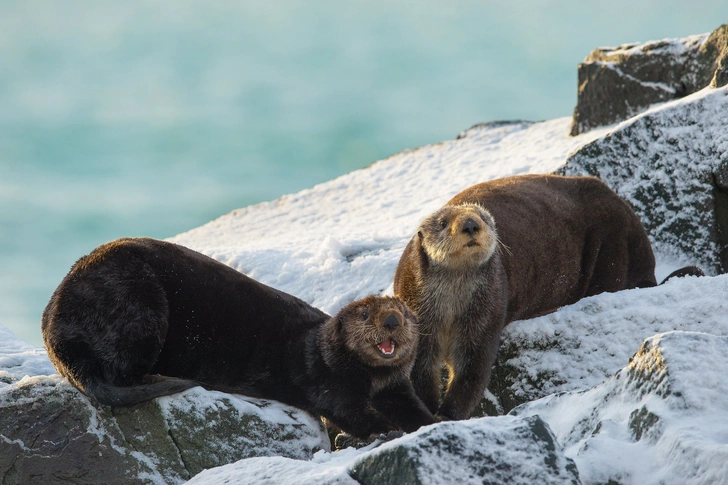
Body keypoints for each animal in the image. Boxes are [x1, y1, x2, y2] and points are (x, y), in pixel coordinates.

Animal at [42, 237, 436, 438]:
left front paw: (433, 422)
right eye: (365, 314)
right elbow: (344, 408)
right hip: (135, 303)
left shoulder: (395, 387)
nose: (391, 320)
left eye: (404, 313)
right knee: (120, 372)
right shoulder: (326, 379)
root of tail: (56, 331)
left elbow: (413, 406)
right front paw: (386, 430)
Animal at [398, 174, 700, 420]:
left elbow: (472, 368)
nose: (471, 225)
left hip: (614, 250)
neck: (451, 309)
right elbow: (421, 368)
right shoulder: (418, 315)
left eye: (483, 218)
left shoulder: (485, 315)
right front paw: (427, 410)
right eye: (442, 222)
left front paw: (447, 414)